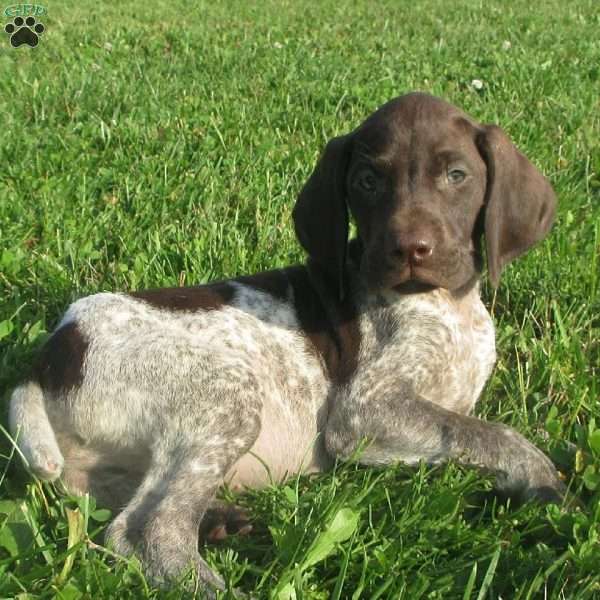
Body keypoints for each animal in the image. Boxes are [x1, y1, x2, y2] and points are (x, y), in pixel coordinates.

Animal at [10, 91, 564, 592]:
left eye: (457, 176)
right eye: (367, 181)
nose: (410, 249)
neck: (447, 305)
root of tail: (49, 357)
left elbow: (472, 429)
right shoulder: (363, 413)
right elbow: (491, 432)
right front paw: (547, 481)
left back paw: (218, 517)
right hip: (225, 395)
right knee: (145, 530)